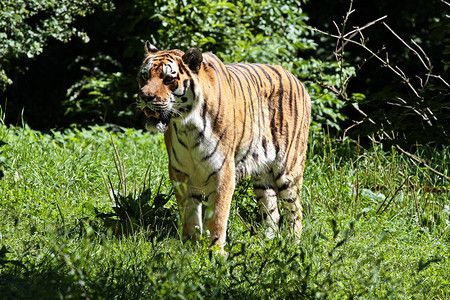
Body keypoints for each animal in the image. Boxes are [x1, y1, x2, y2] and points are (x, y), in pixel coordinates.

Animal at [136, 41, 310, 252]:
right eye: (145, 76)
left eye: (168, 79)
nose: (145, 96)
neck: (187, 125)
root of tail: (295, 78)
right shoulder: (180, 173)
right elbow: (189, 216)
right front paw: (190, 249)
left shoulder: (223, 172)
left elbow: (217, 217)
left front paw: (215, 252)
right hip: (262, 176)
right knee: (272, 211)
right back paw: (266, 243)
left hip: (288, 169)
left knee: (295, 210)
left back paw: (293, 245)